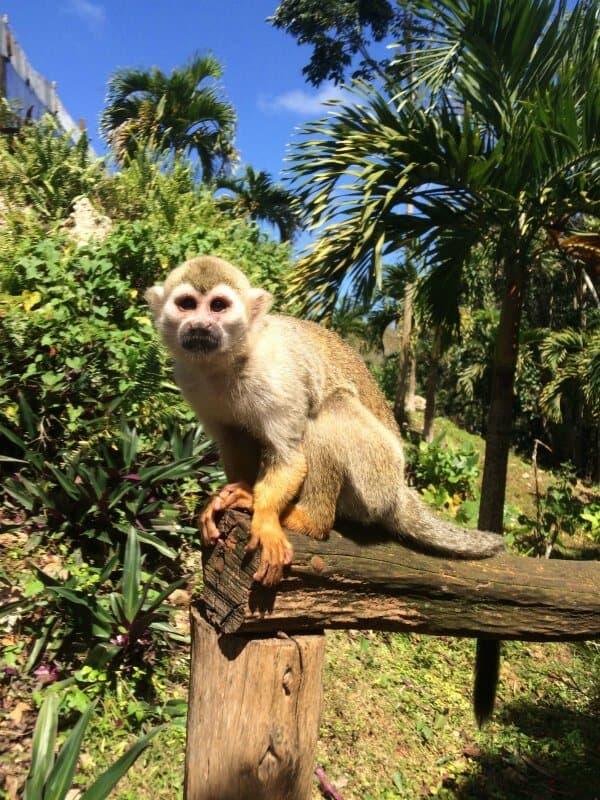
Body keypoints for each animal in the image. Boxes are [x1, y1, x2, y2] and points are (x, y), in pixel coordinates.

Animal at [146, 255, 504, 721]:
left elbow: (290, 454)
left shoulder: (275, 375)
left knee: (329, 409)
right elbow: (233, 439)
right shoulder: (191, 379)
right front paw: (237, 492)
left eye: (219, 306)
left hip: (377, 477)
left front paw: (264, 517)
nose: (202, 325)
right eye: (187, 304)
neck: (228, 360)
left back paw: (308, 520)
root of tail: (400, 490)